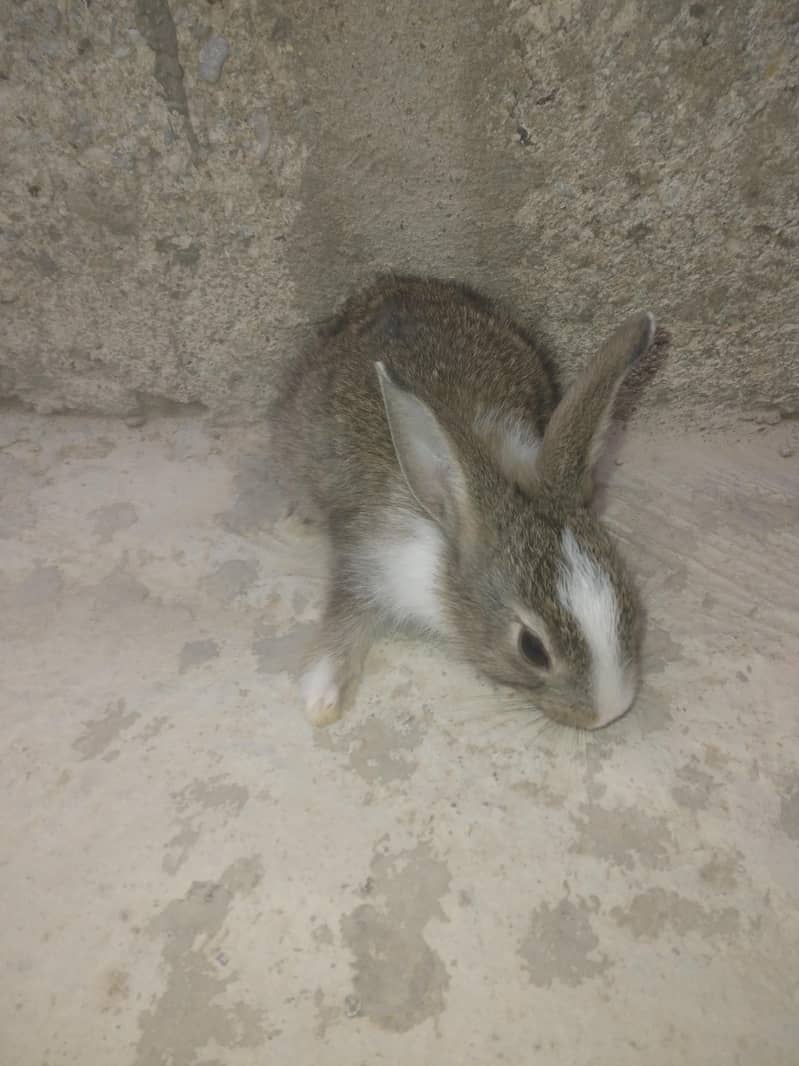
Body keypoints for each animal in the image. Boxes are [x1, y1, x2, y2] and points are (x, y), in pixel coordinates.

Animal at [270, 275, 655, 730]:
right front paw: (322, 699)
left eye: (629, 603)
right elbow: (346, 613)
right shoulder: (366, 556)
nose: (608, 713)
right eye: (532, 648)